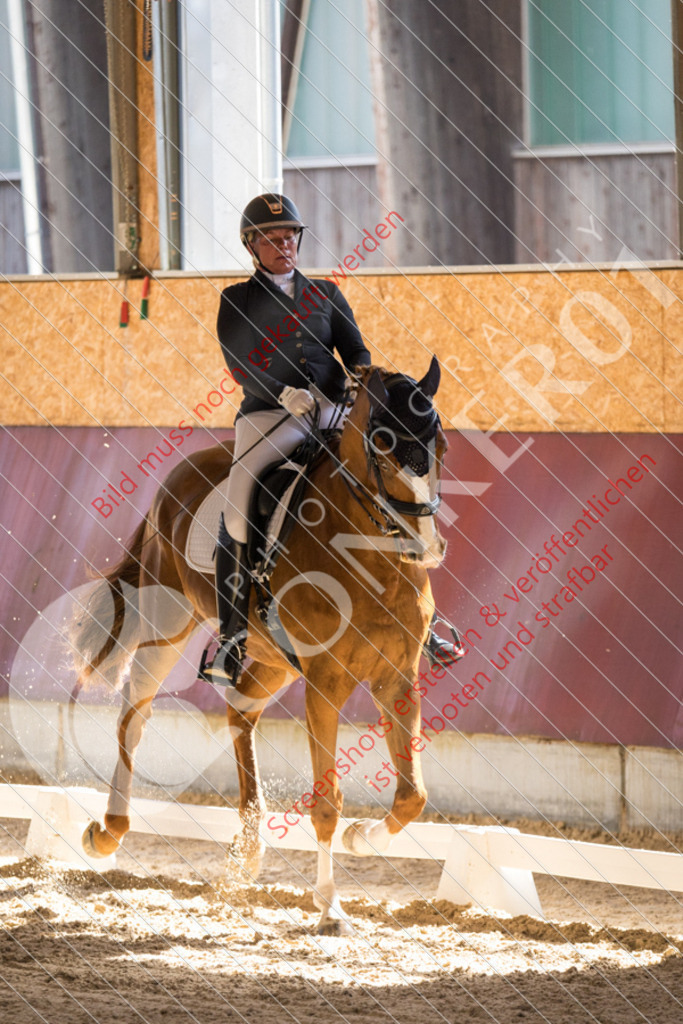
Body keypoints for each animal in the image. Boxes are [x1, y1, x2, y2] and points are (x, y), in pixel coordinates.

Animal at [72, 360, 448, 937]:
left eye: (440, 446)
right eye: (382, 445)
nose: (425, 549)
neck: (371, 557)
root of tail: (181, 474)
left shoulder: (397, 675)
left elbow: (413, 795)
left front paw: (362, 836)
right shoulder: (325, 682)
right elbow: (327, 802)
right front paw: (330, 906)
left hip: (274, 661)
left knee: (240, 707)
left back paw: (247, 849)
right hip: (168, 621)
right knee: (135, 711)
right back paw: (108, 832)